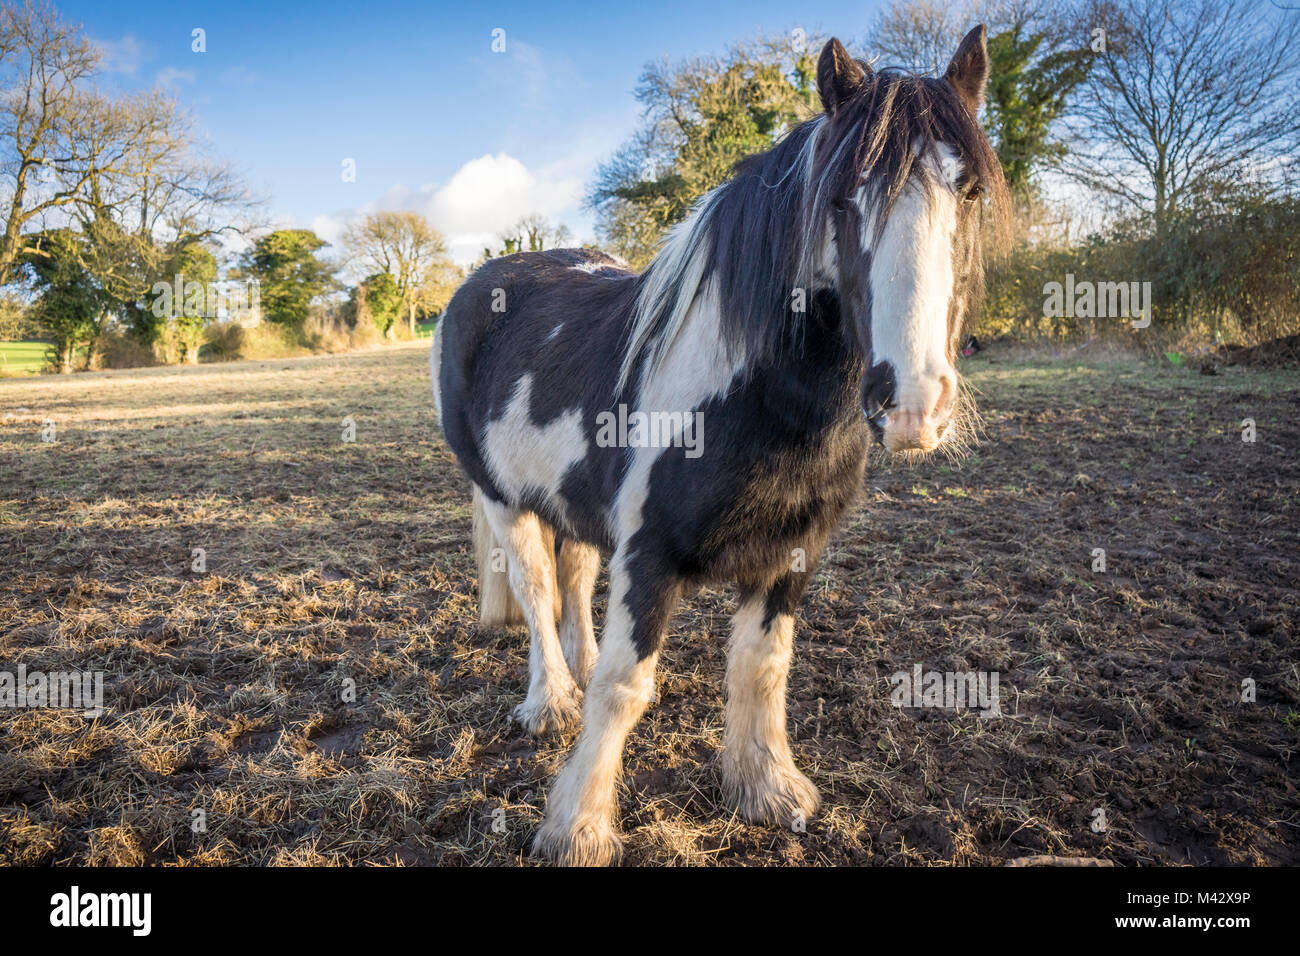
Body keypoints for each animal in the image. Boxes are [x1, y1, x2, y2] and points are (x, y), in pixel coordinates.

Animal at [428, 27, 1003, 868]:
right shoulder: (650, 550)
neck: (759, 402)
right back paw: (551, 703)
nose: (912, 403)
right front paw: (577, 827)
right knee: (535, 595)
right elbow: (624, 687)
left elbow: (762, 669)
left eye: (971, 192)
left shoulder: (792, 551)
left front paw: (765, 790)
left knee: (573, 582)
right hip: (505, 501)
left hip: (573, 503)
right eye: (841, 197)